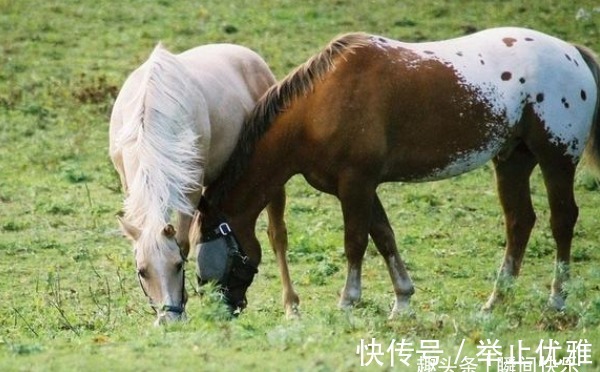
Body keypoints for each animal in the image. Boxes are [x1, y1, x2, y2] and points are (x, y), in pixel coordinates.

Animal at [109, 42, 292, 324]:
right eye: (142, 271)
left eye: (177, 265)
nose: (169, 320)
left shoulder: (190, 191)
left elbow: (184, 243)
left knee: (277, 236)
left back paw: (292, 306)